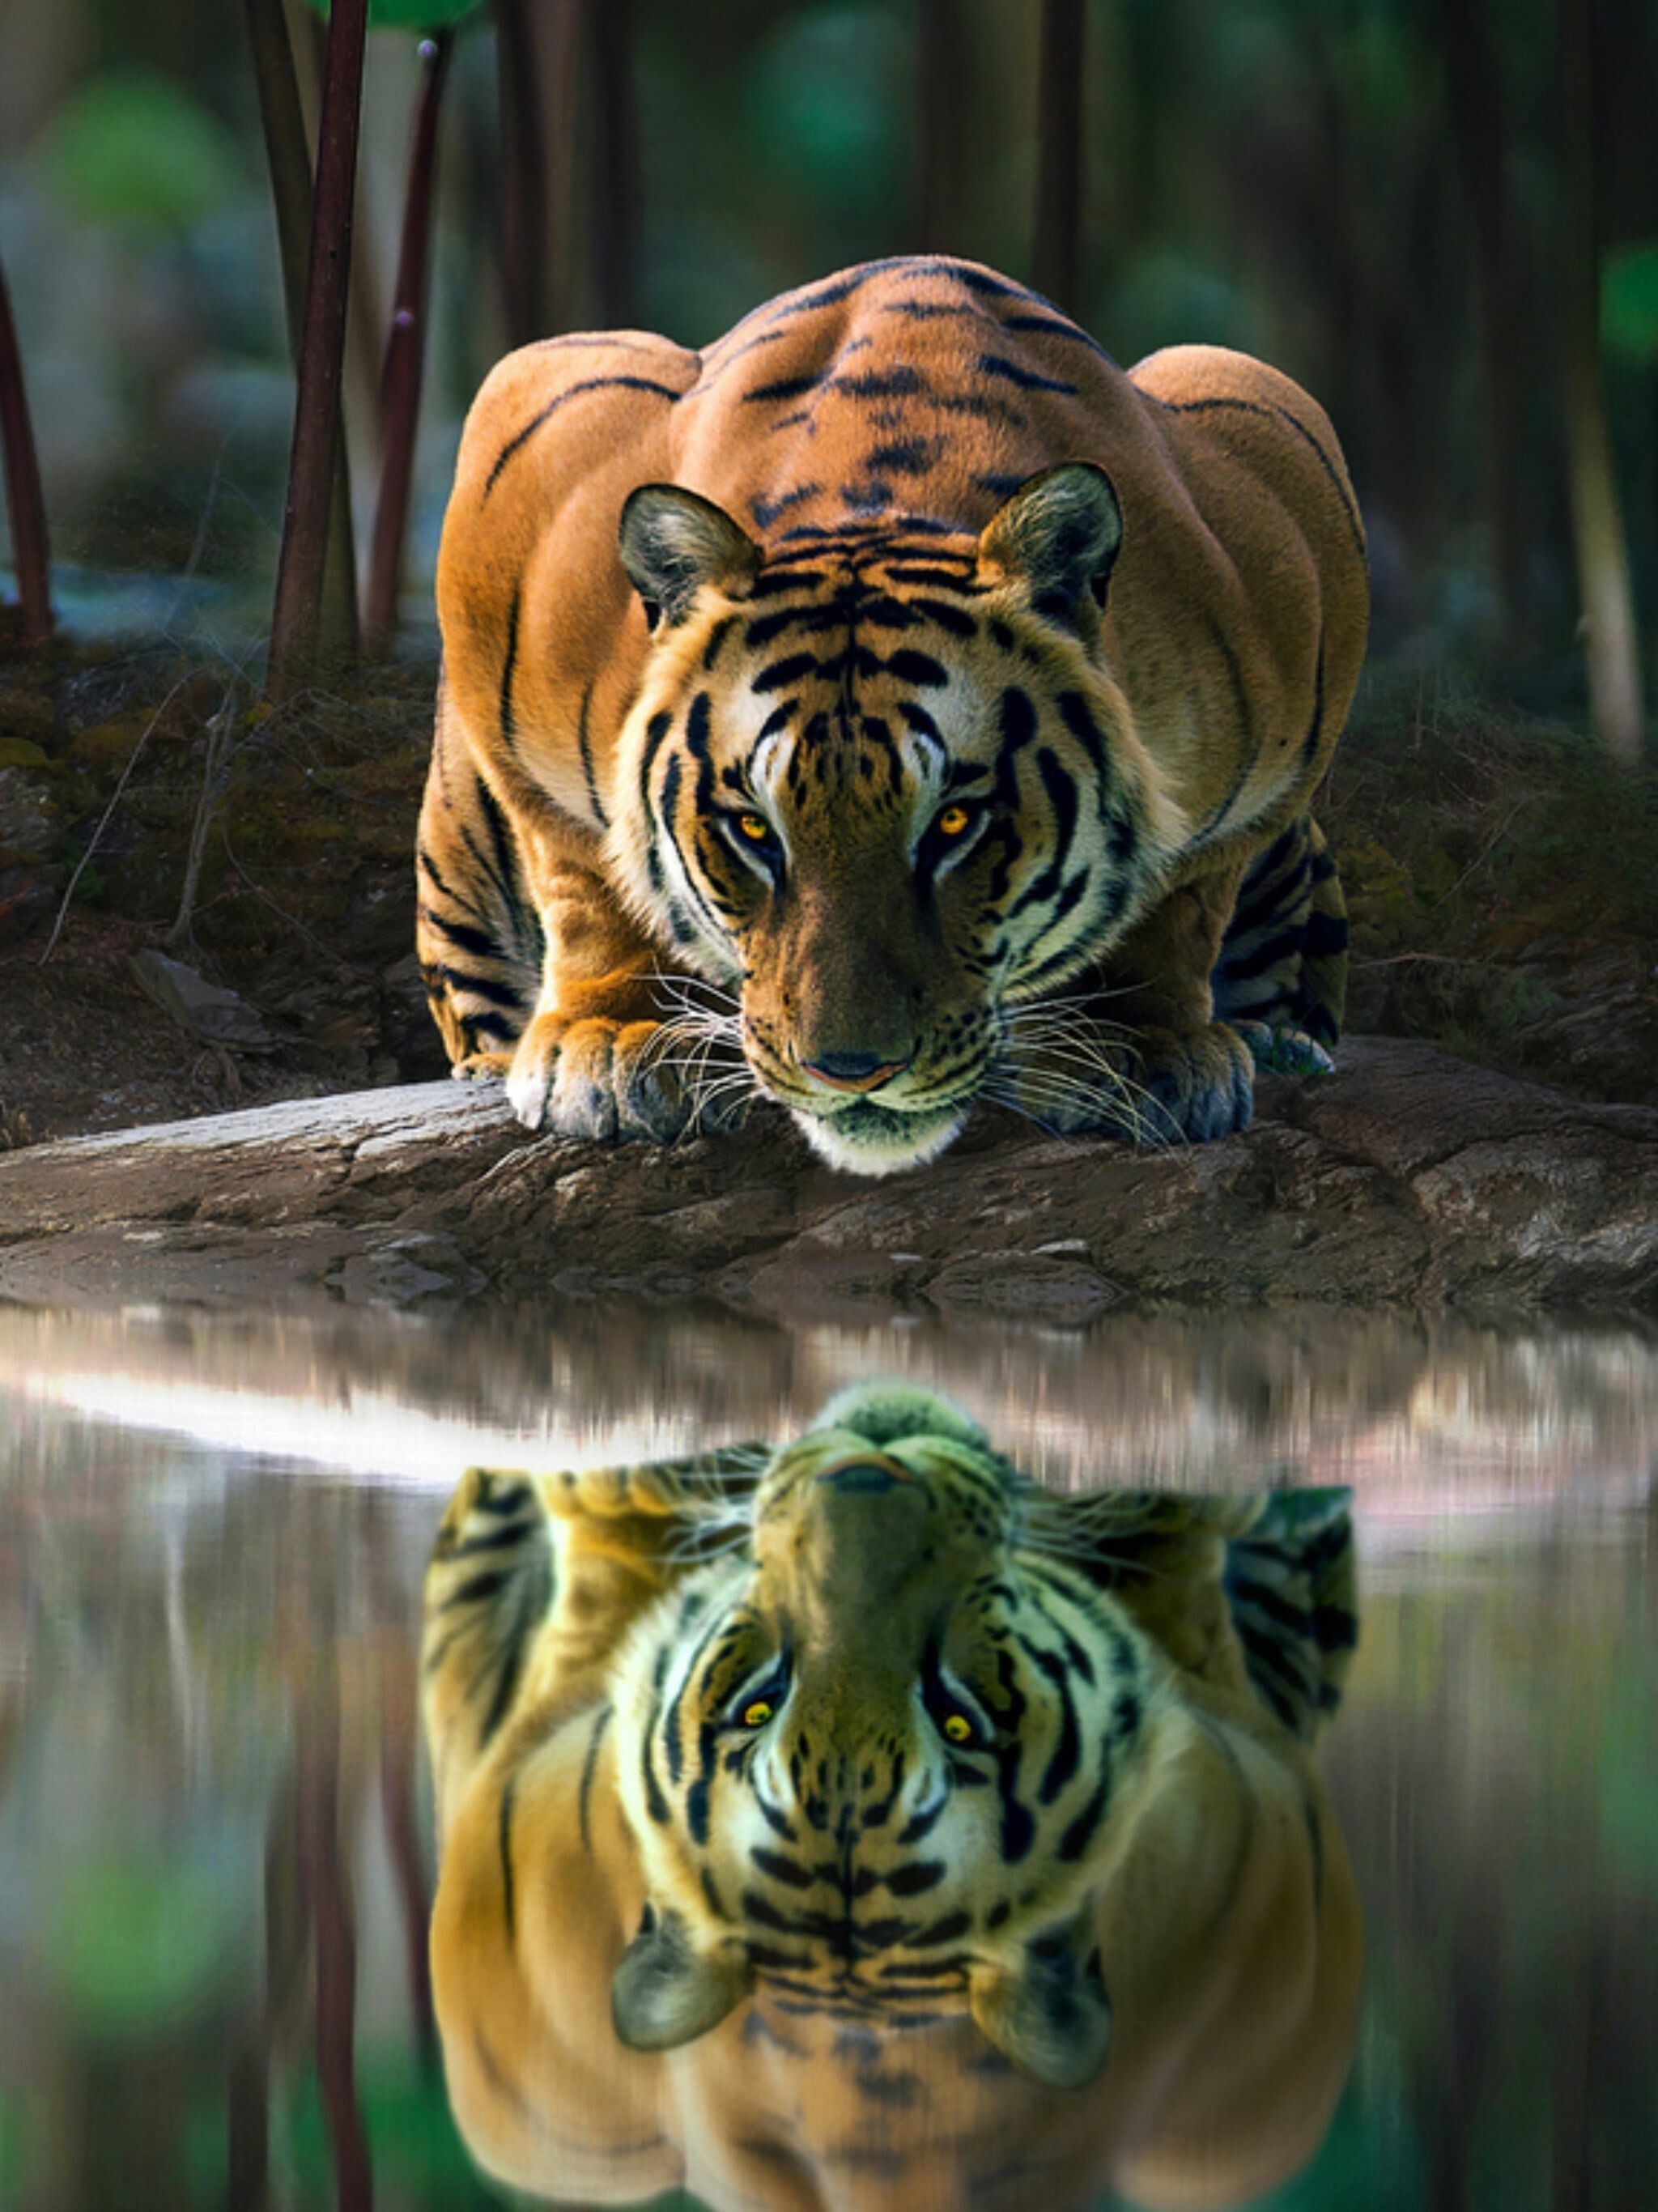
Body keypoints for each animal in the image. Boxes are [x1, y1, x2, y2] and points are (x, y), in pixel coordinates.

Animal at [416, 253, 1367, 1176]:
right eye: (752, 830)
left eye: (953, 823)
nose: (850, 1071)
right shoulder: (532, 431)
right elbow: (585, 869)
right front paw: (621, 1039)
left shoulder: (1283, 481)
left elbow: (1181, 894)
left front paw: (1135, 1045)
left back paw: (1280, 1043)